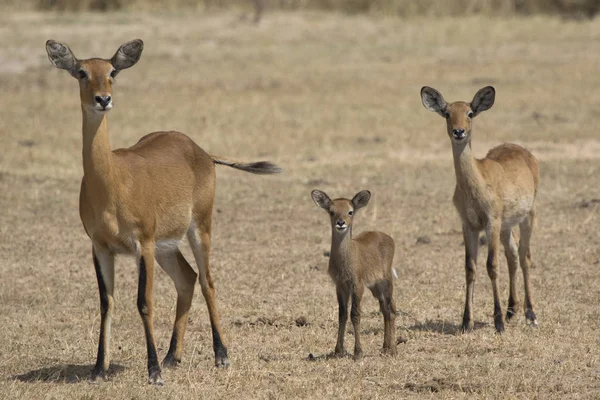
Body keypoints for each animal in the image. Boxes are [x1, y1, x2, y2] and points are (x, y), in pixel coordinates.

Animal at [46, 39, 282, 384]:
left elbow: (144, 302)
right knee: (187, 278)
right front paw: (99, 369)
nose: (103, 99)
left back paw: (221, 356)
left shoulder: (142, 243)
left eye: (112, 72)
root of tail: (201, 150)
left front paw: (154, 372)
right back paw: (173, 356)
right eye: (81, 72)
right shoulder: (100, 247)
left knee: (207, 280)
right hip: (166, 247)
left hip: (199, 228)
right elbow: (107, 303)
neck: (112, 182)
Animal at [312, 189, 396, 358]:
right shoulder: (340, 286)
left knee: (390, 310)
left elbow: (355, 314)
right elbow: (342, 314)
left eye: (350, 211)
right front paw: (338, 350)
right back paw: (386, 347)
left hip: (386, 283)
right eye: (332, 211)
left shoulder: (357, 285)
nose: (341, 223)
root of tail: (388, 238)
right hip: (375, 288)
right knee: (386, 310)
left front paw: (358, 351)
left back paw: (390, 349)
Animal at [420, 86, 540, 334]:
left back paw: (530, 315)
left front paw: (498, 323)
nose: (459, 131)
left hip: (527, 217)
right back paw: (512, 310)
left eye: (470, 112)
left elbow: (491, 265)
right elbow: (470, 267)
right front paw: (466, 321)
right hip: (506, 226)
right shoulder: (469, 225)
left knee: (525, 256)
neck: (477, 181)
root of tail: (526, 154)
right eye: (447, 113)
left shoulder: (491, 221)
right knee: (513, 254)